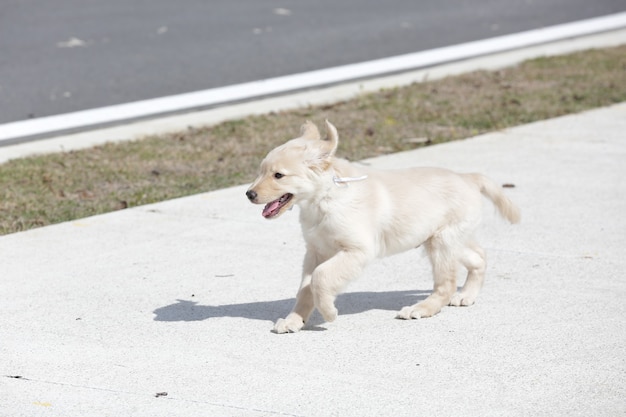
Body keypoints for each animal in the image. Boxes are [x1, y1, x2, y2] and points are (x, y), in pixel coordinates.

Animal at [245, 119, 516, 332]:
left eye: (278, 175)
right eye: (260, 171)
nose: (249, 194)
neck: (324, 200)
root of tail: (467, 177)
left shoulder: (358, 250)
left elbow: (320, 279)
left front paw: (329, 312)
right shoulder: (315, 252)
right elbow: (305, 288)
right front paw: (295, 320)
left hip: (442, 242)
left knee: (446, 284)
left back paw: (422, 308)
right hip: (444, 238)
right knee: (479, 257)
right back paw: (467, 295)